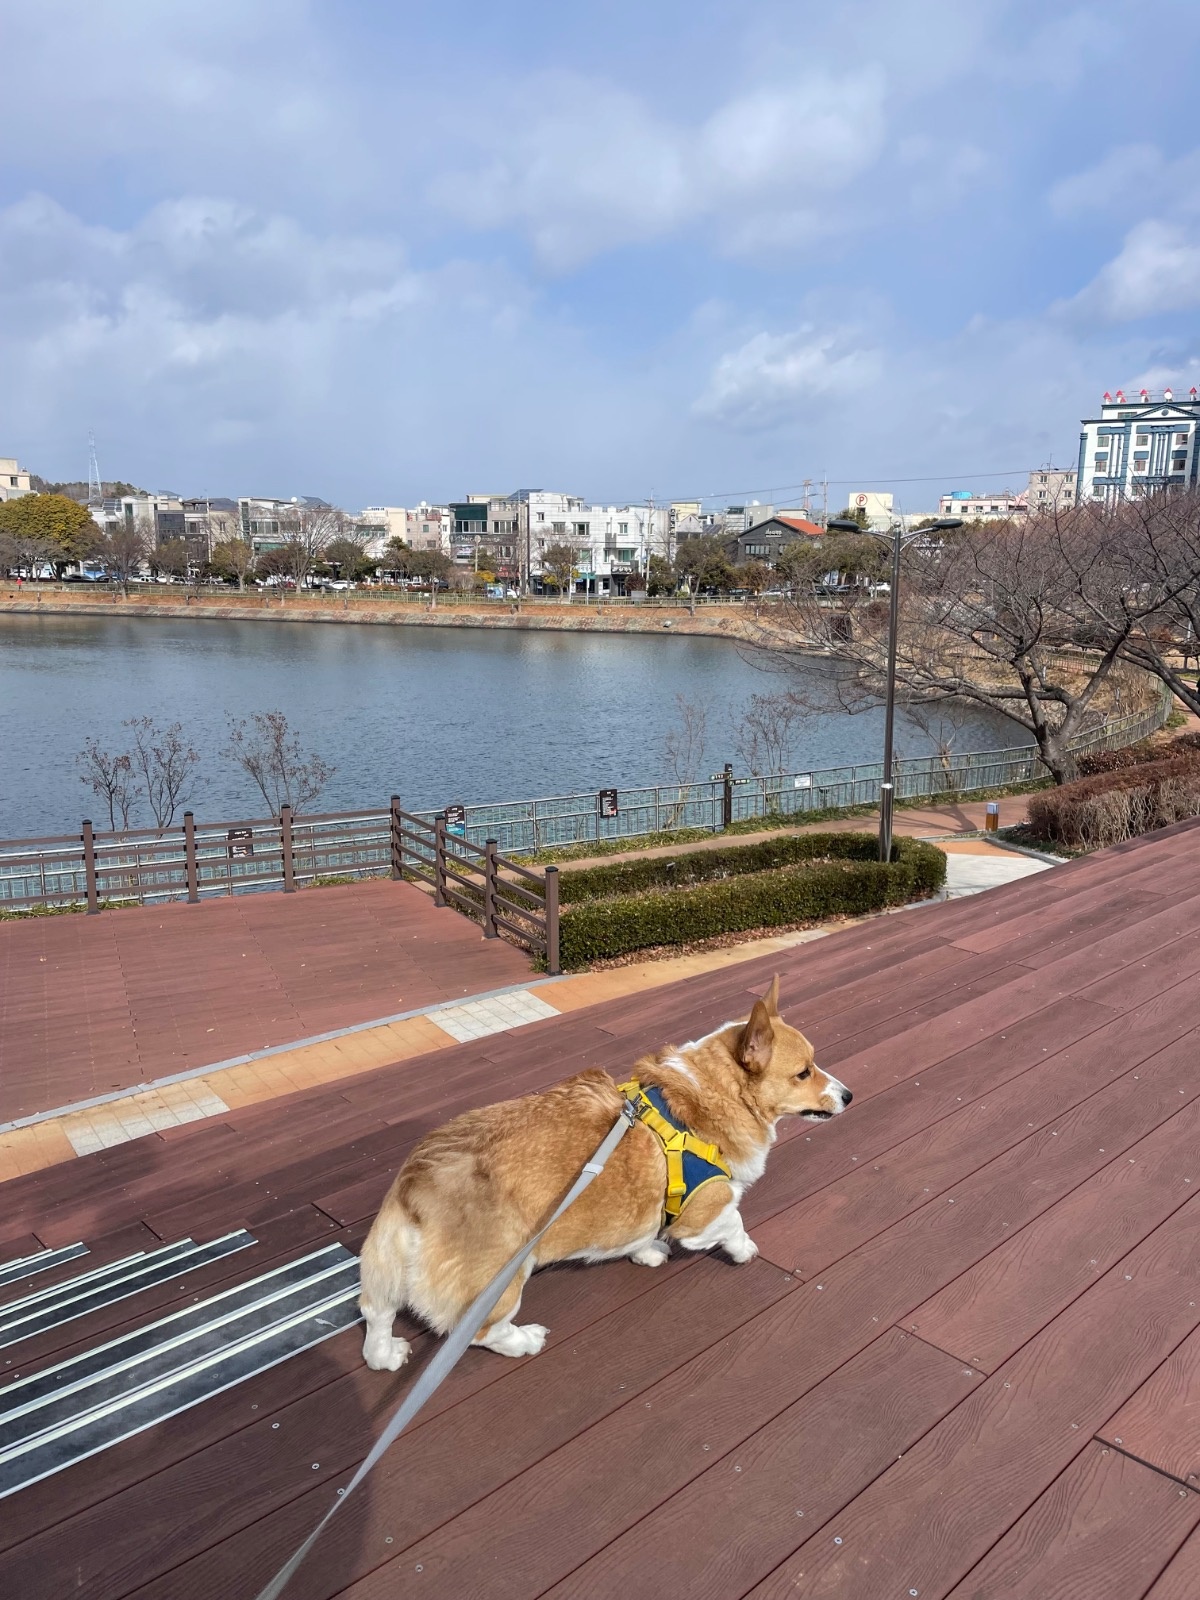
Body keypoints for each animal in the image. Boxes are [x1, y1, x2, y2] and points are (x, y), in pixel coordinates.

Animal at [361, 979, 851, 1369]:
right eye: (803, 1072)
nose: (848, 1095)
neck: (710, 1097)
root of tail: (417, 1183)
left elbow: (642, 1233)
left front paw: (648, 1252)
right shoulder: (704, 1212)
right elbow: (734, 1223)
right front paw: (745, 1250)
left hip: (384, 1264)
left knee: (375, 1314)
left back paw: (387, 1355)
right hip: (499, 1283)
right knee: (482, 1332)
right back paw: (525, 1341)